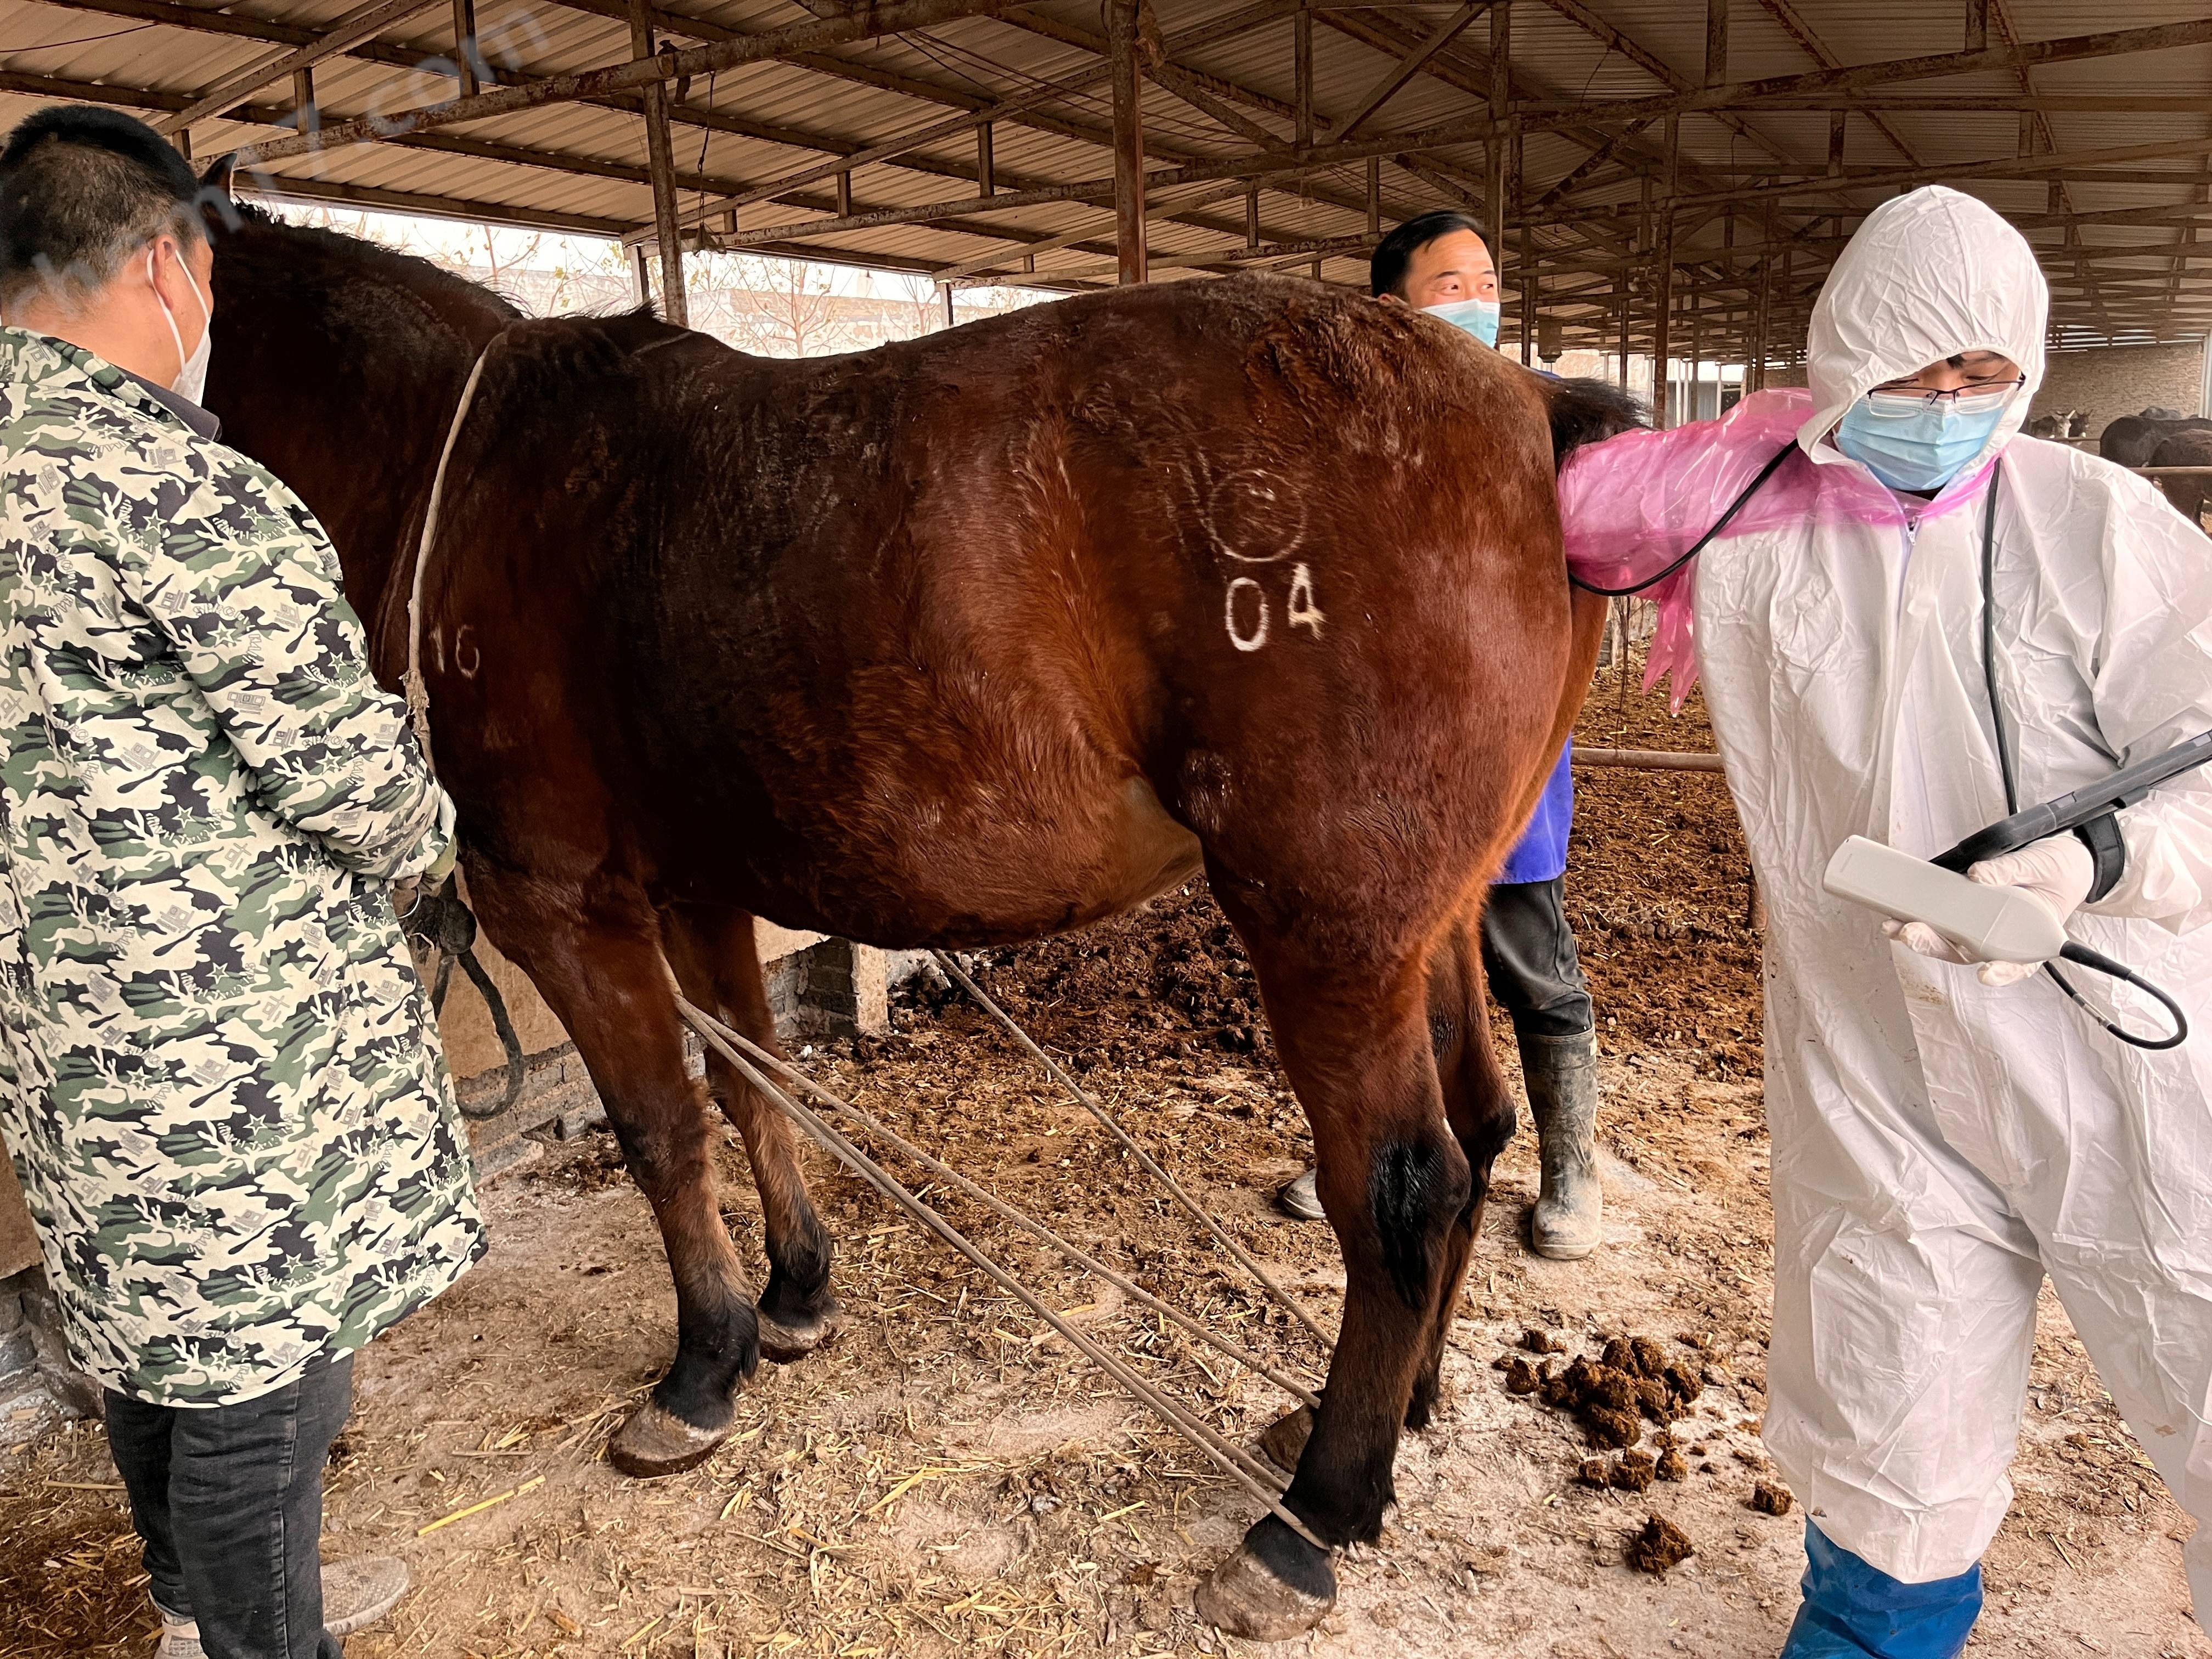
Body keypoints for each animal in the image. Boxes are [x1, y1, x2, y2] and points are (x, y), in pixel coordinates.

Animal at [199, 191, 1637, 1637]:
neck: (472, 469)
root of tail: (1531, 404)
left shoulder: (553, 898)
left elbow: (662, 1130)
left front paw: (704, 1365)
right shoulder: (700, 887)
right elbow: (756, 1089)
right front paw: (794, 1294)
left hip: (1330, 938)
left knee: (1404, 1190)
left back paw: (1319, 1512)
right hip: (1426, 926)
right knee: (1480, 1129)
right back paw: (1401, 1415)